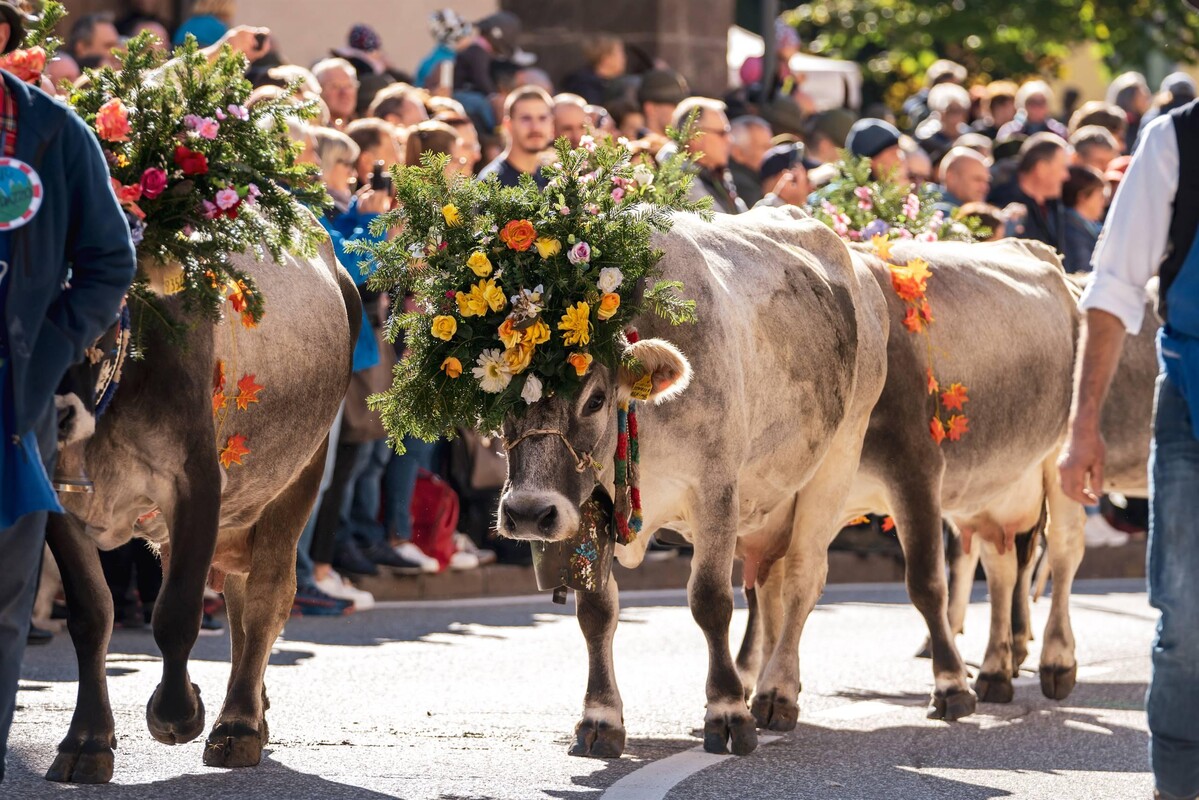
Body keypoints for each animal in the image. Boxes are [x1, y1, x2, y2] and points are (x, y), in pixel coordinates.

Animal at [42, 235, 360, 784]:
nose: (53, 415)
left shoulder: (197, 482)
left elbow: (175, 613)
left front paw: (178, 712)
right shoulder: (56, 498)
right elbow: (91, 613)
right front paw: (86, 741)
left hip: (299, 476)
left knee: (266, 597)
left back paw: (239, 725)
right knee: (236, 600)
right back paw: (253, 708)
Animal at [497, 205, 977, 759]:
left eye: (595, 399)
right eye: (493, 393)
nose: (527, 512)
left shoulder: (716, 490)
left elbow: (710, 601)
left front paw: (727, 712)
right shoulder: (587, 505)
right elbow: (596, 609)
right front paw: (600, 718)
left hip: (838, 458)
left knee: (805, 579)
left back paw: (781, 693)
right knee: (769, 584)